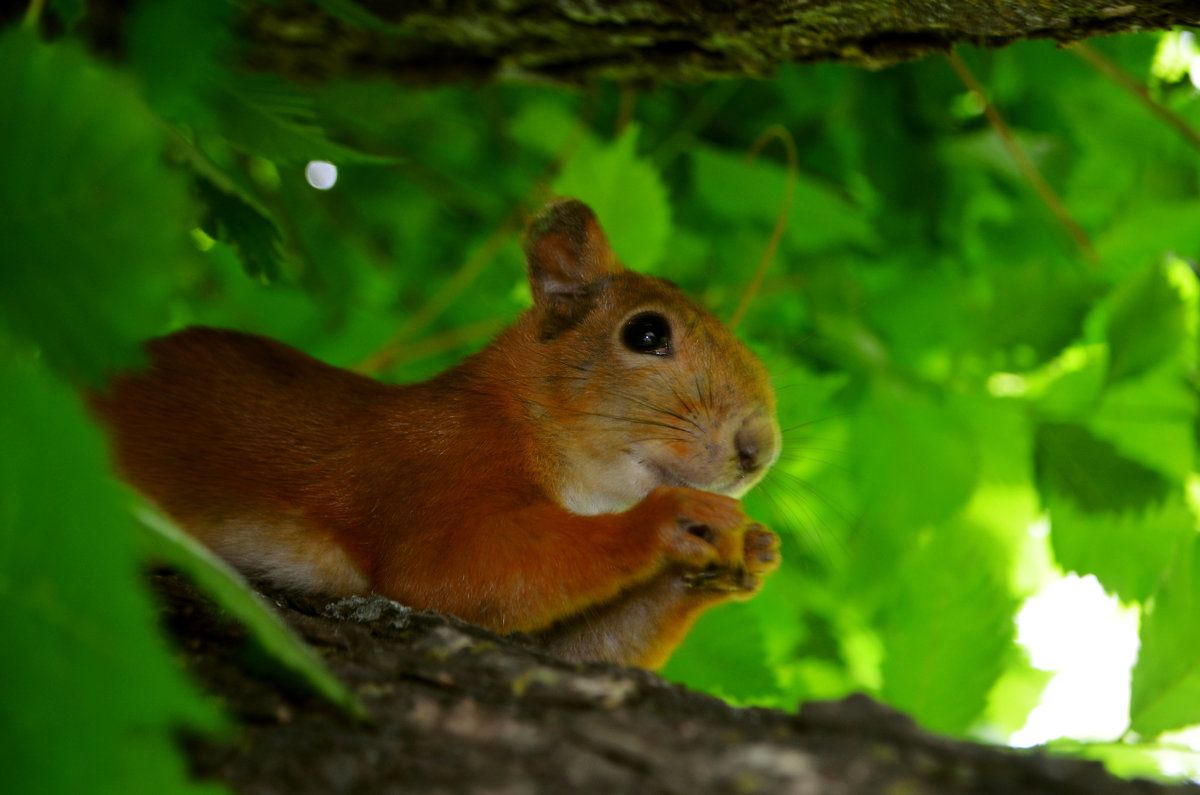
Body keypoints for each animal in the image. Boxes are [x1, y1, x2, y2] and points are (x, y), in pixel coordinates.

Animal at [96, 198, 787, 667]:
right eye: (646, 333)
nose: (759, 448)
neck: (519, 416)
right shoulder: (434, 465)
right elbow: (460, 571)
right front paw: (665, 519)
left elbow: (581, 649)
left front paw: (748, 552)